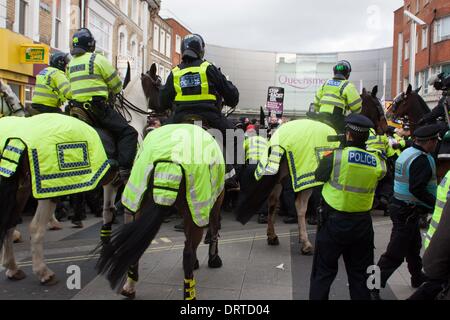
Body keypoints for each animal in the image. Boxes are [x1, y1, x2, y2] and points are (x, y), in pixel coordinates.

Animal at [236, 85, 386, 255]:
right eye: (378, 106)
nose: (385, 128)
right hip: (304, 179)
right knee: (300, 206)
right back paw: (305, 243)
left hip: (279, 176)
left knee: (273, 201)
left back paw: (272, 235)